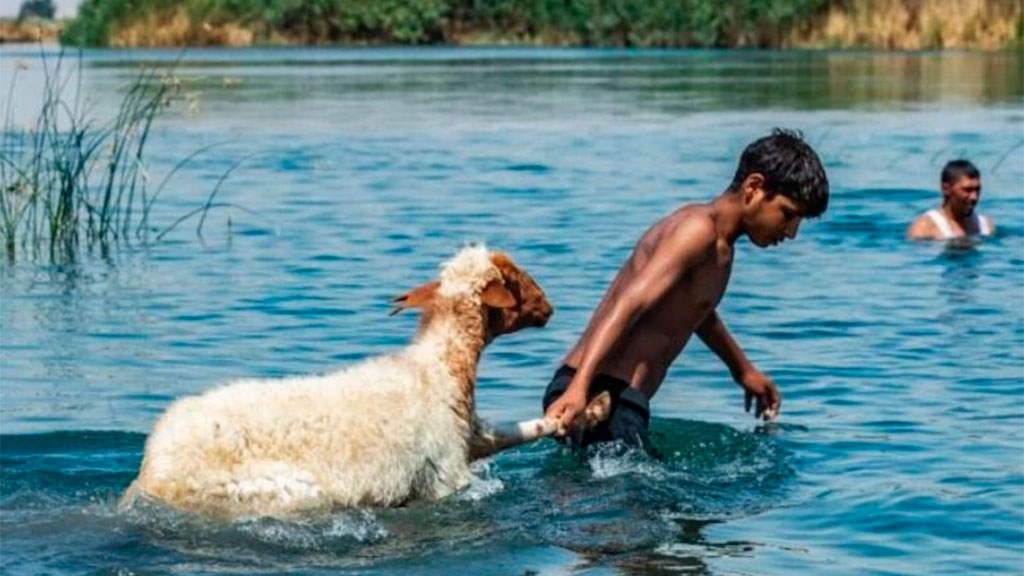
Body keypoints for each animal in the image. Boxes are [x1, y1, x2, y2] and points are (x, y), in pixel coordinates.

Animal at [119, 243, 606, 518]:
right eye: (517, 280)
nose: (551, 307)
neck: (437, 369)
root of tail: (149, 471)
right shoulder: (447, 474)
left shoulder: (470, 436)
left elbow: (527, 428)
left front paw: (591, 405)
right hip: (271, 489)